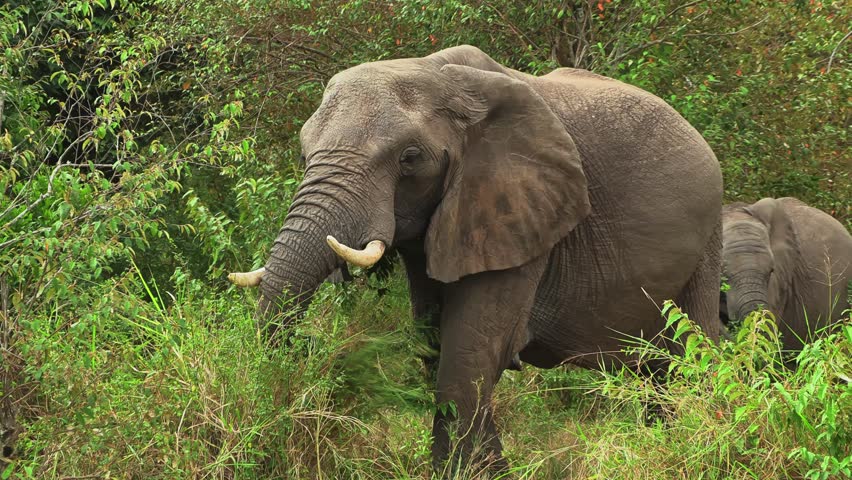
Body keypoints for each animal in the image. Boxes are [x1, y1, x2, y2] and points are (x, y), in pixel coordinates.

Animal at [228, 45, 725, 471]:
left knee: (690, 361)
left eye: (410, 158)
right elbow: (436, 347)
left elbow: (468, 356)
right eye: (303, 152)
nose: (317, 347)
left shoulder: (520, 216)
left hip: (707, 243)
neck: (438, 74)